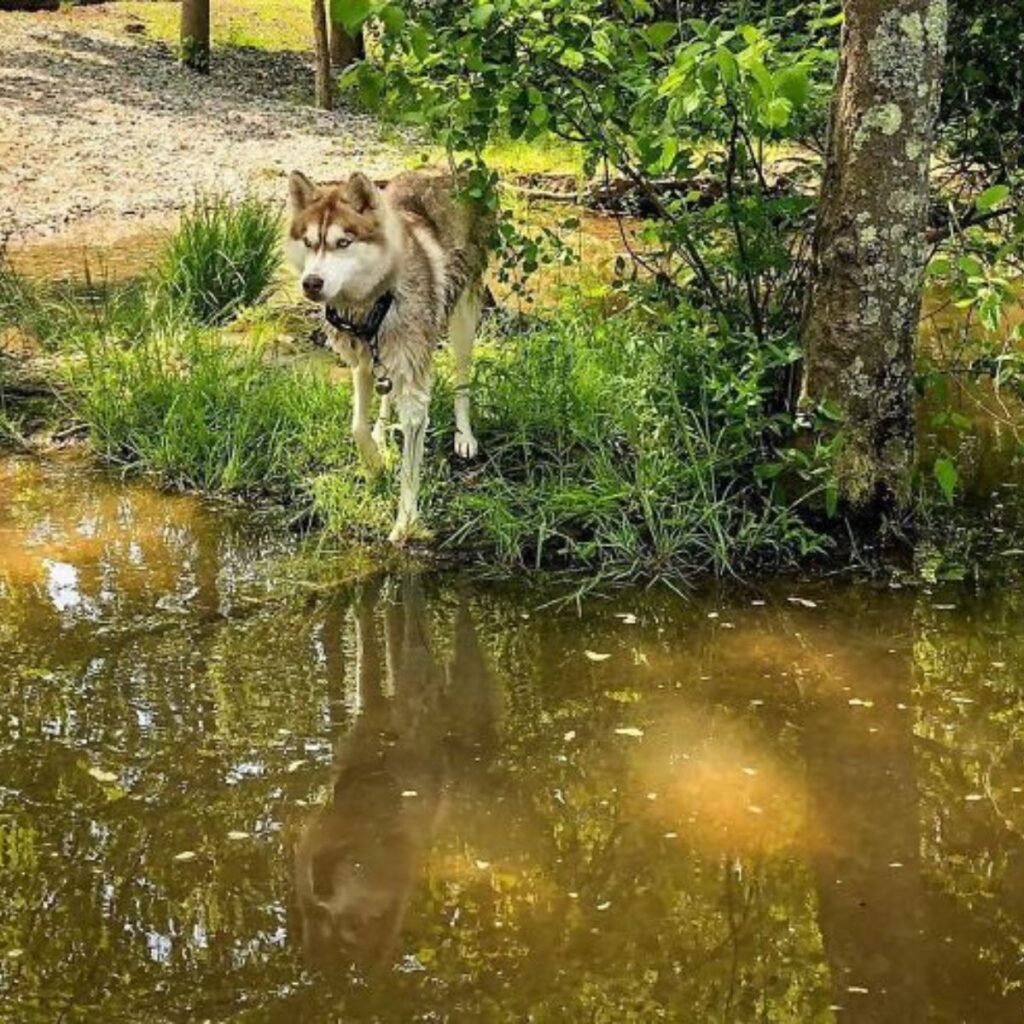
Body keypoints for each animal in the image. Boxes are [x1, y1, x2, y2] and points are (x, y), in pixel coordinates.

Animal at [286, 167, 489, 544]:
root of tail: (449, 170)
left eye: (343, 243)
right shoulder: (361, 361)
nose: (311, 282)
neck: (373, 302)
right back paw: (381, 431)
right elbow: (356, 426)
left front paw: (405, 521)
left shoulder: (414, 392)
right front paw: (376, 462)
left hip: (464, 318)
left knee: (462, 380)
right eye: (308, 242)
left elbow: (410, 465)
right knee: (384, 393)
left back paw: (464, 436)